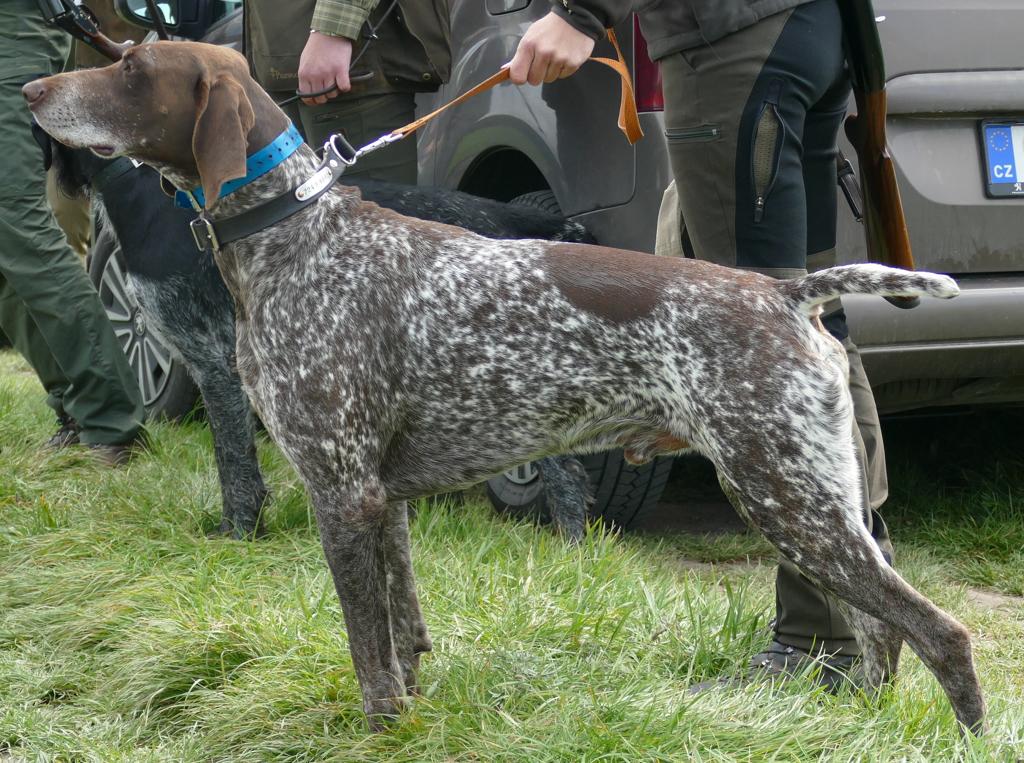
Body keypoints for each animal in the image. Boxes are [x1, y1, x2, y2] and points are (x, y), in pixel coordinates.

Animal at [24, 41, 983, 733]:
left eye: (130, 69)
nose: (31, 89)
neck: (292, 236)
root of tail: (788, 292)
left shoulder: (340, 491)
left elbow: (365, 641)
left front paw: (376, 727)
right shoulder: (383, 498)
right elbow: (403, 626)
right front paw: (409, 710)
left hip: (786, 494)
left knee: (939, 630)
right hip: (816, 500)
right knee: (882, 629)